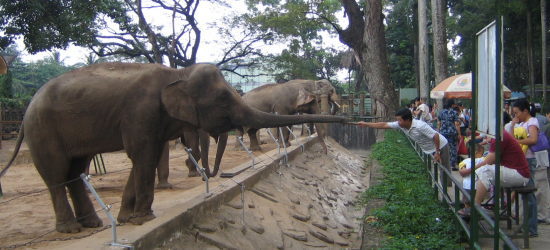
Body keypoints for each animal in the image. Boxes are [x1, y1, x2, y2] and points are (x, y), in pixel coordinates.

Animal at [0, 61, 344, 233]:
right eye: (223, 99)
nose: (216, 174)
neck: (178, 73)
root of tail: (27, 108)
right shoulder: (141, 111)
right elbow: (142, 154)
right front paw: (142, 220)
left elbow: (146, 156)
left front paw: (127, 219)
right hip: (43, 130)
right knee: (57, 173)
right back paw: (71, 229)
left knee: (76, 169)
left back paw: (93, 223)